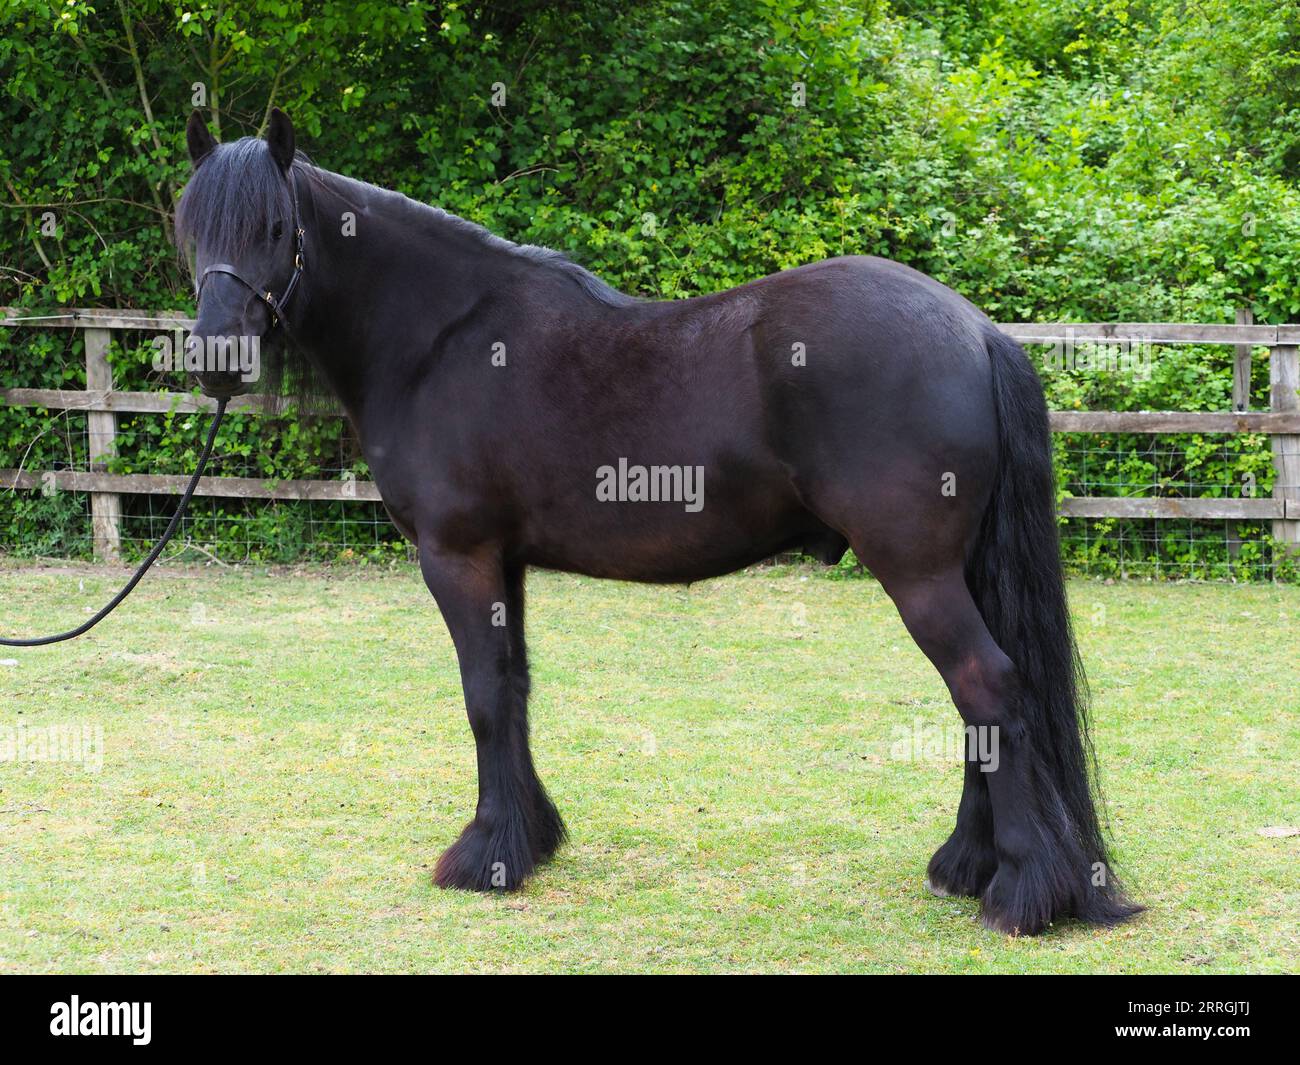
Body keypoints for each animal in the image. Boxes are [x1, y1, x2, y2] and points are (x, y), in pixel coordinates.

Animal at [175, 112, 1138, 936]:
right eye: (190, 230)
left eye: (274, 227)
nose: (217, 360)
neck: (440, 338)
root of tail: (973, 327)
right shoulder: (506, 562)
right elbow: (514, 689)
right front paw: (529, 842)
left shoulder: (459, 557)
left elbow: (482, 695)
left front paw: (484, 856)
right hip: (958, 569)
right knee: (980, 699)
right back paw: (966, 865)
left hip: (920, 573)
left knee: (988, 686)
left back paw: (1019, 892)